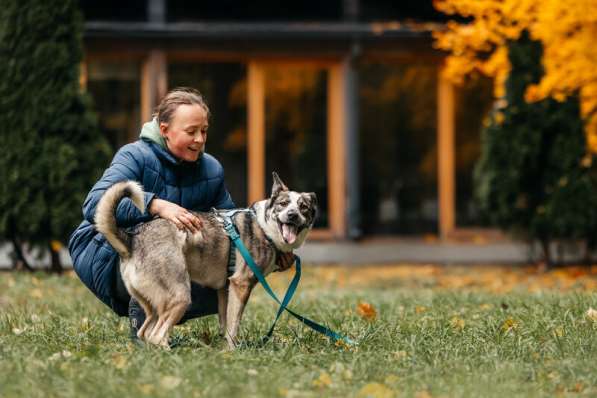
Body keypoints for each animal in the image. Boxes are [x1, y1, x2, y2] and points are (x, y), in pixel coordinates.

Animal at [94, 171, 316, 348]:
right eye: (283, 204)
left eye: (304, 207)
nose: (293, 215)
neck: (263, 227)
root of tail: (132, 239)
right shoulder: (241, 285)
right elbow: (234, 325)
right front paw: (233, 352)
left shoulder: (225, 289)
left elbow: (226, 323)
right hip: (180, 296)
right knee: (156, 335)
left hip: (152, 305)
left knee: (144, 332)